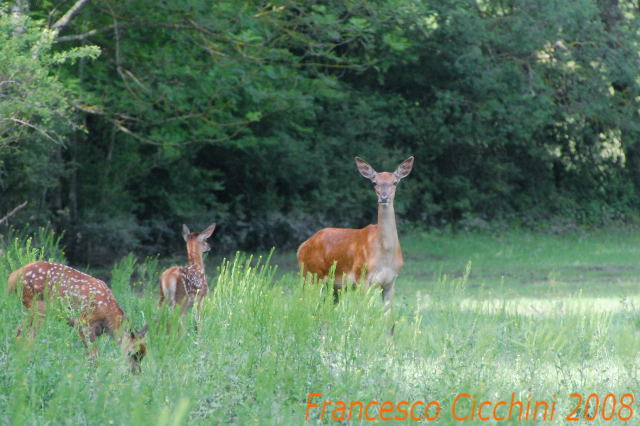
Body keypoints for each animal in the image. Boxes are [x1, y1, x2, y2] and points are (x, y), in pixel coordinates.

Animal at [7, 260, 148, 372]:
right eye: (132, 353)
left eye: (143, 355)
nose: (135, 372)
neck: (108, 318)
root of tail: (12, 277)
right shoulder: (83, 322)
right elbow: (94, 355)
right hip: (38, 307)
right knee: (28, 338)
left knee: (19, 333)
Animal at [296, 156, 416, 326]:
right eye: (374, 182)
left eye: (395, 182)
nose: (383, 197)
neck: (385, 253)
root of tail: (301, 247)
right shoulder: (362, 278)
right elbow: (364, 315)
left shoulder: (390, 282)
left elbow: (390, 322)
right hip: (310, 275)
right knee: (304, 305)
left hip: (334, 286)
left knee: (322, 311)